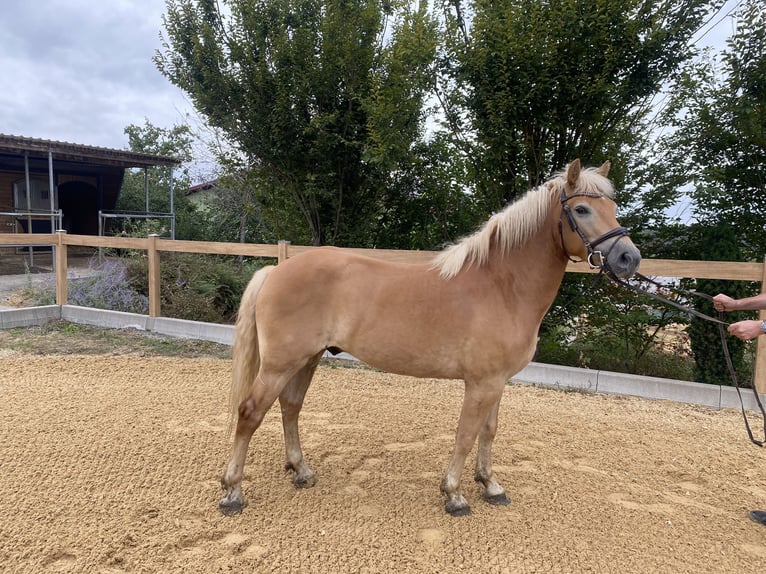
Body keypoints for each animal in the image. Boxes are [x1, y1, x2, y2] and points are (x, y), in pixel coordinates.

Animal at [220, 160, 640, 520]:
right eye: (582, 209)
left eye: (613, 205)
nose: (629, 258)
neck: (502, 287)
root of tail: (276, 271)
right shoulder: (480, 383)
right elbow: (466, 434)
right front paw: (454, 494)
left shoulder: (497, 382)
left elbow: (488, 431)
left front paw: (491, 486)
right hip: (280, 363)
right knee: (250, 413)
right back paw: (232, 491)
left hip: (306, 359)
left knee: (290, 407)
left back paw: (301, 471)